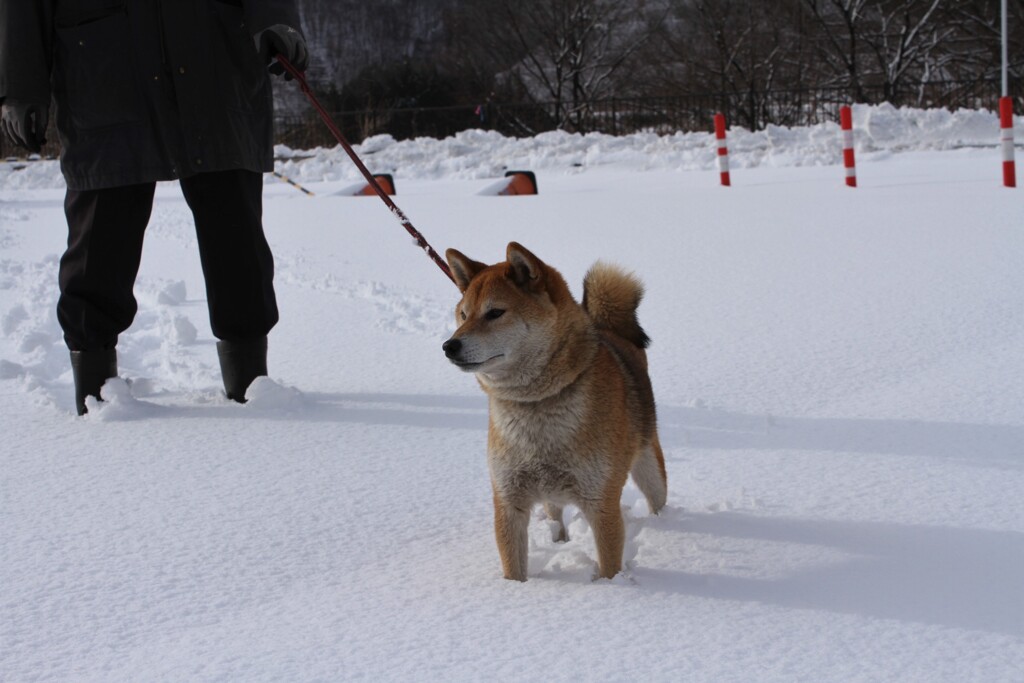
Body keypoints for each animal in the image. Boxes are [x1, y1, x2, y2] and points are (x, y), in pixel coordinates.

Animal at [442, 242, 667, 581]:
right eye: (464, 315)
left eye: (495, 313)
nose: (449, 346)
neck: (537, 406)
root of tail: (610, 330)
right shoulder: (508, 501)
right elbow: (513, 566)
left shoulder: (601, 502)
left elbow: (609, 567)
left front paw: (612, 588)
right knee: (555, 514)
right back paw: (558, 540)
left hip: (649, 469)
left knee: (658, 499)